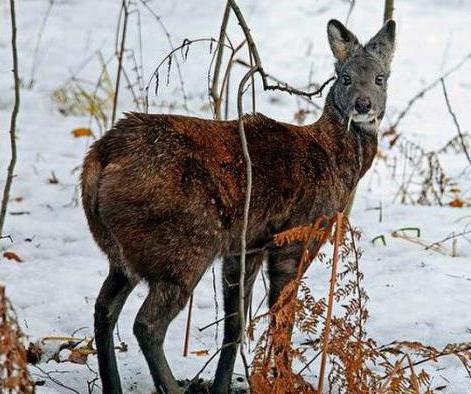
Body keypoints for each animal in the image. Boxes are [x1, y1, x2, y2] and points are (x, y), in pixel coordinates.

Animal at [80, 17, 394, 390]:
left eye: (380, 78)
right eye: (345, 78)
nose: (363, 104)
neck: (333, 159)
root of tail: (102, 156)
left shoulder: (248, 244)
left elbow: (235, 323)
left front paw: (222, 385)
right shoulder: (298, 234)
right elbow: (281, 315)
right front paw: (284, 380)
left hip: (125, 252)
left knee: (104, 309)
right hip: (185, 244)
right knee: (146, 323)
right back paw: (172, 386)